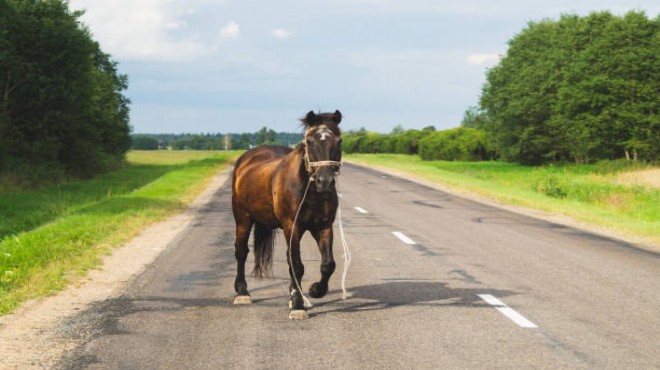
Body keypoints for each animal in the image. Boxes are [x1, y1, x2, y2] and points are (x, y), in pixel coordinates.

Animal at [231, 109, 342, 318]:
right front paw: (298, 305)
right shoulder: (292, 226)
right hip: (243, 218)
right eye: (309, 142)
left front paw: (315, 290)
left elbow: (328, 265)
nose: (325, 182)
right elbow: (296, 265)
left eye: (339, 140)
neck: (309, 190)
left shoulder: (323, 226)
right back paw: (242, 292)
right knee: (241, 251)